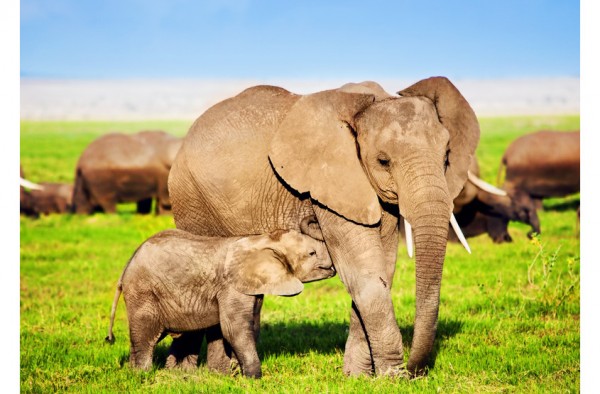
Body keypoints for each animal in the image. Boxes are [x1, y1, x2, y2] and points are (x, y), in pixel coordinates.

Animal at [106, 228, 336, 378]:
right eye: (312, 253)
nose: (333, 268)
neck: (263, 239)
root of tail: (126, 268)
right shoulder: (231, 286)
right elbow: (234, 328)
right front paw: (253, 378)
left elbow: (251, 326)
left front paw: (234, 373)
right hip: (143, 292)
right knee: (146, 336)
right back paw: (141, 375)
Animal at [168, 76, 482, 376]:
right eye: (383, 161)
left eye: (446, 157)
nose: (417, 371)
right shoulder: (331, 184)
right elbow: (364, 273)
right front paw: (393, 377)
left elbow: (382, 270)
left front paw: (357, 377)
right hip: (192, 200)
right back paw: (194, 373)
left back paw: (218, 372)